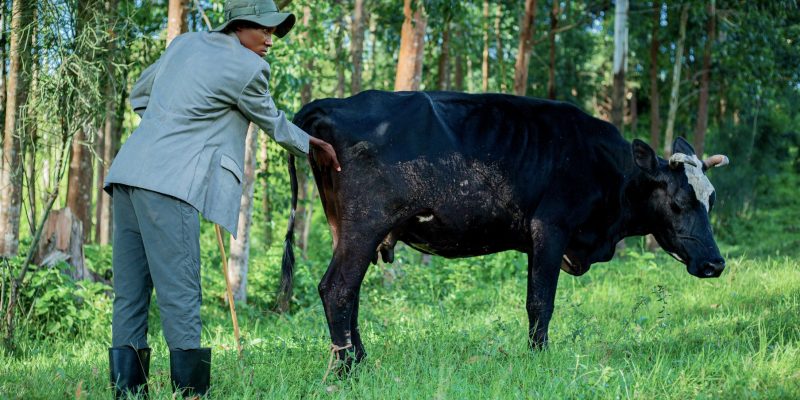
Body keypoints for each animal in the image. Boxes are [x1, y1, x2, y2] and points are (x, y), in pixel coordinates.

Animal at [278, 90, 729, 371]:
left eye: (711, 199)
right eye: (679, 202)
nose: (715, 264)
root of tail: (331, 105)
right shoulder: (551, 228)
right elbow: (541, 303)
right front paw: (539, 358)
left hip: (344, 226)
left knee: (349, 292)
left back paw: (359, 360)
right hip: (366, 223)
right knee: (338, 287)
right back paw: (347, 370)